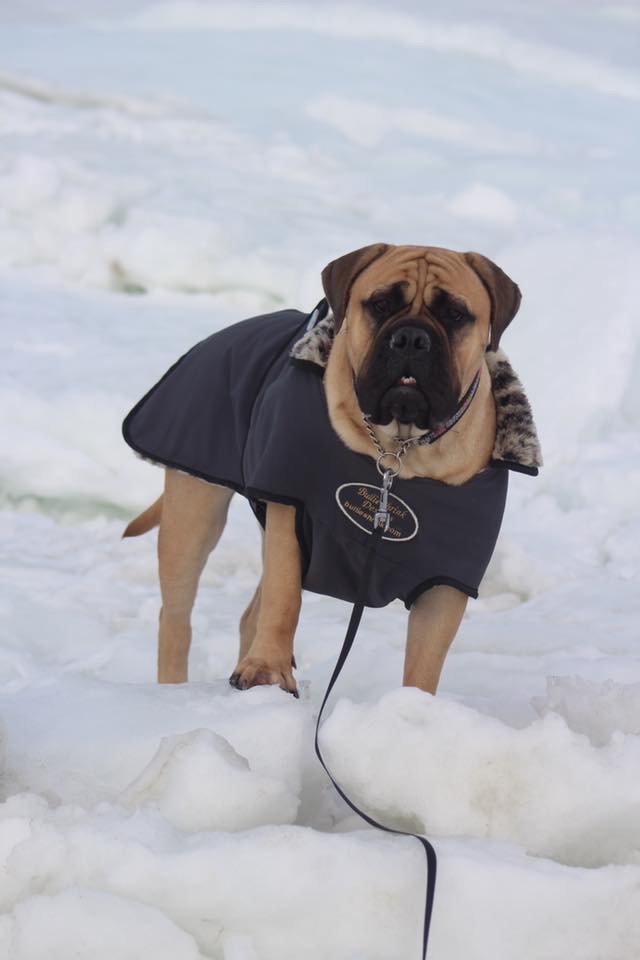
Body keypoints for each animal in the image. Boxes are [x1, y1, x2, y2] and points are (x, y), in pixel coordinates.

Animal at [122, 243, 540, 696]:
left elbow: (426, 660)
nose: (411, 338)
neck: (399, 448)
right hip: (195, 511)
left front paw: (415, 710)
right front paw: (267, 669)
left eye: (455, 314)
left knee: (247, 614)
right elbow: (284, 598)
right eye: (380, 304)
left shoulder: (447, 576)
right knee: (178, 614)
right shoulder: (291, 512)